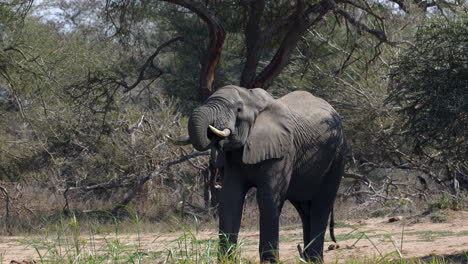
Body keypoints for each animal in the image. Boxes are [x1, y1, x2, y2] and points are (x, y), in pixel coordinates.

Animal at [170, 86, 346, 262]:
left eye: (238, 109)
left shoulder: (281, 151)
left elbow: (267, 198)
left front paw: (269, 261)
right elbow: (230, 197)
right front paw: (227, 260)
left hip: (337, 157)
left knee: (321, 205)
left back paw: (314, 259)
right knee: (305, 210)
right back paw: (308, 259)